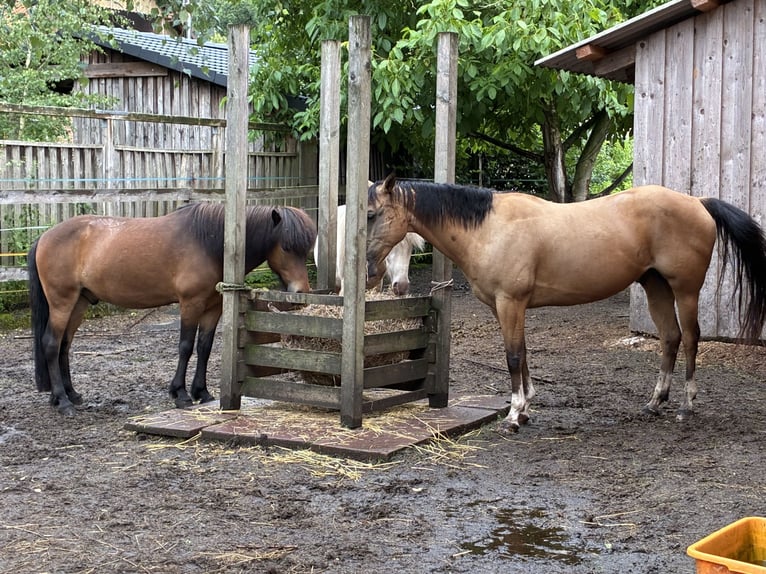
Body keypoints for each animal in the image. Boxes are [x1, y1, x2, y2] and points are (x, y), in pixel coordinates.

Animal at [28, 203, 317, 416]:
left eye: (307, 250)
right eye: (287, 247)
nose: (300, 292)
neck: (211, 241)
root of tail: (44, 236)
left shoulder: (213, 307)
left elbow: (204, 347)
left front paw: (202, 392)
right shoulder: (190, 304)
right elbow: (186, 347)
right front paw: (181, 394)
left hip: (79, 303)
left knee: (64, 345)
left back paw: (70, 395)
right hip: (62, 302)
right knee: (51, 344)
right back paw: (63, 402)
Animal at [365, 175, 766, 433]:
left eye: (371, 214)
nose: (370, 271)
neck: (488, 229)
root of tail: (697, 202)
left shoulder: (510, 302)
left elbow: (513, 356)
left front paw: (514, 415)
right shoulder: (504, 306)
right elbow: (523, 353)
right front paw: (526, 408)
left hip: (684, 290)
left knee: (691, 339)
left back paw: (686, 405)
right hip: (656, 287)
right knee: (669, 337)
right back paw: (655, 402)